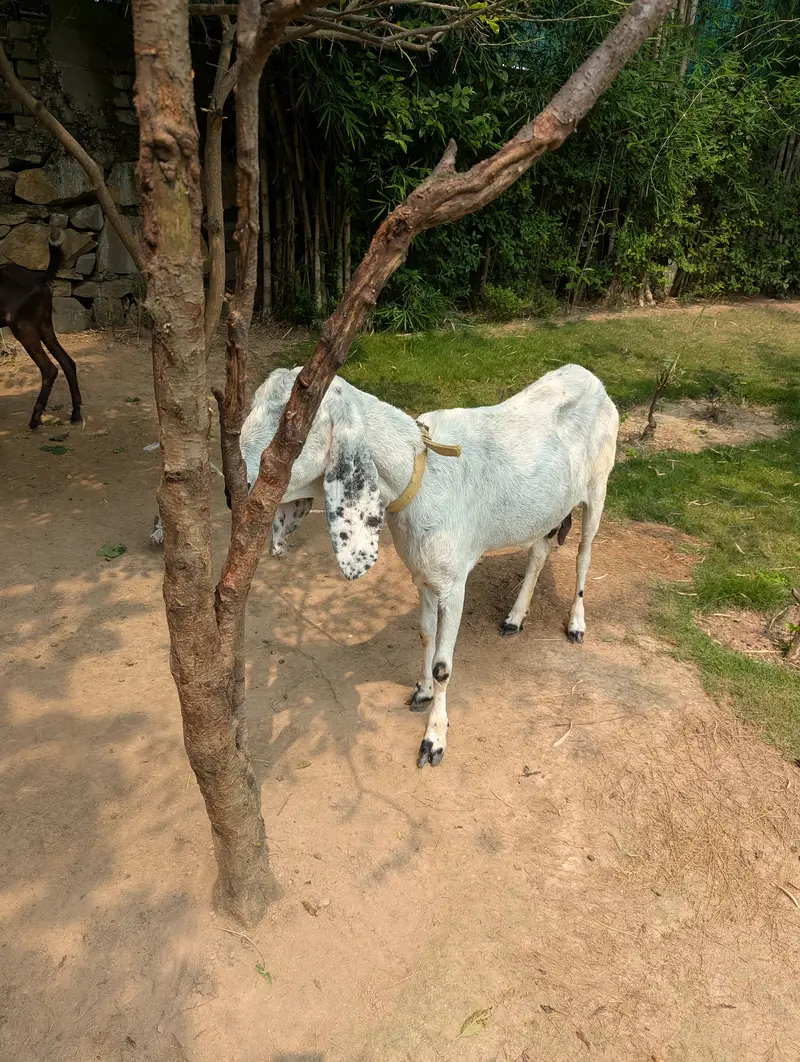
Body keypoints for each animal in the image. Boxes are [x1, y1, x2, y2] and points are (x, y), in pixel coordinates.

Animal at [0, 225, 82, 430]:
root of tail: (39, 275)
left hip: (23, 328)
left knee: (49, 369)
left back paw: (35, 418)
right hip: (45, 327)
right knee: (68, 362)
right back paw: (76, 414)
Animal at [239, 363, 619, 768]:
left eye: (293, 426)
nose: (241, 486)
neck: (418, 473)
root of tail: (588, 376)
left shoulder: (453, 584)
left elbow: (443, 665)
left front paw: (434, 738)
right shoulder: (422, 576)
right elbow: (424, 634)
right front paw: (421, 691)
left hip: (597, 490)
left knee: (583, 556)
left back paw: (576, 624)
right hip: (547, 510)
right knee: (540, 552)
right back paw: (514, 618)